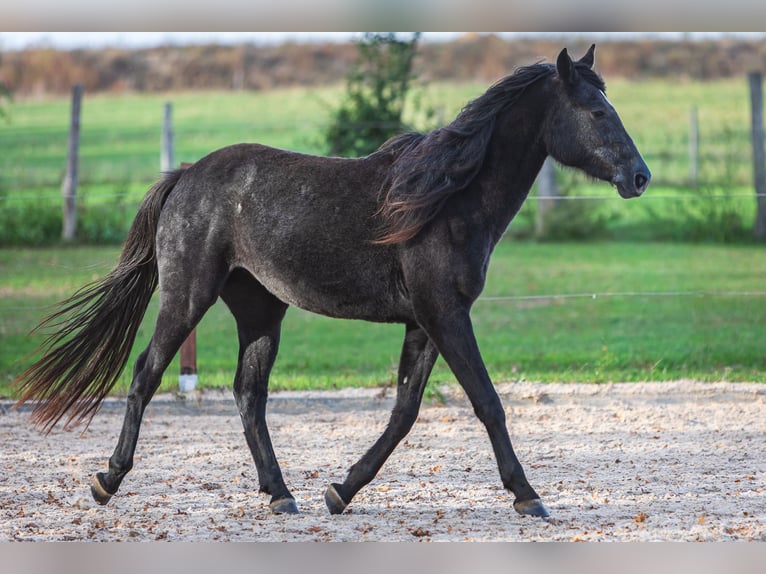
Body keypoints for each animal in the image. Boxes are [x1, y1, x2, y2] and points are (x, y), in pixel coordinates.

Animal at [14, 45, 650, 519]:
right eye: (597, 112)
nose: (639, 177)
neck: (446, 198)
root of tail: (188, 175)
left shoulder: (425, 322)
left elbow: (404, 411)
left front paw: (340, 491)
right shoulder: (445, 314)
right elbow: (487, 402)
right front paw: (528, 497)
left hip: (261, 312)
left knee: (248, 395)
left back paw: (282, 495)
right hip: (187, 295)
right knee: (147, 373)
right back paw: (107, 479)